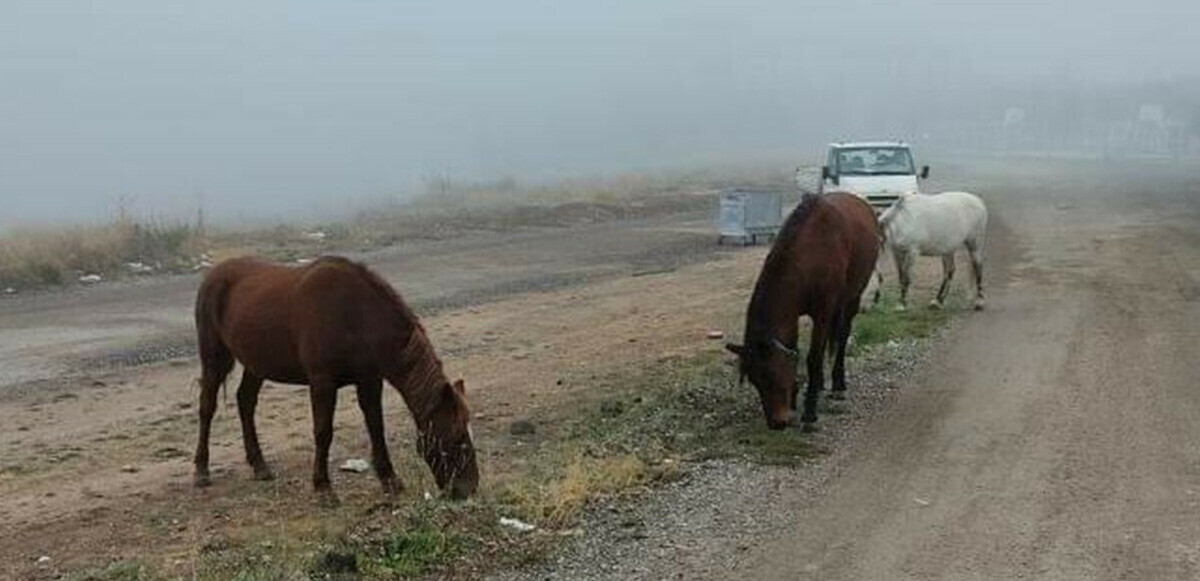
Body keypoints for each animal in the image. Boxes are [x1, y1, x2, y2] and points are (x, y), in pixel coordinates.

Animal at [192, 256, 477, 501]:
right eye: (457, 438)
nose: (468, 489)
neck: (355, 315)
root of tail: (213, 276)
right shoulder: (322, 383)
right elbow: (323, 432)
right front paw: (323, 488)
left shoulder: (369, 381)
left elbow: (376, 427)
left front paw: (389, 480)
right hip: (215, 358)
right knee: (207, 407)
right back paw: (201, 470)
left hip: (256, 362)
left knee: (245, 402)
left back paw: (259, 465)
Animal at [720, 193, 883, 434]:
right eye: (754, 381)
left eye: (771, 374)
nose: (776, 423)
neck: (808, 256)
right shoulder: (793, 313)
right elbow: (795, 350)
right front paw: (796, 400)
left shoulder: (823, 312)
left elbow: (813, 358)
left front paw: (809, 413)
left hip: (852, 297)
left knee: (842, 337)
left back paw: (838, 385)